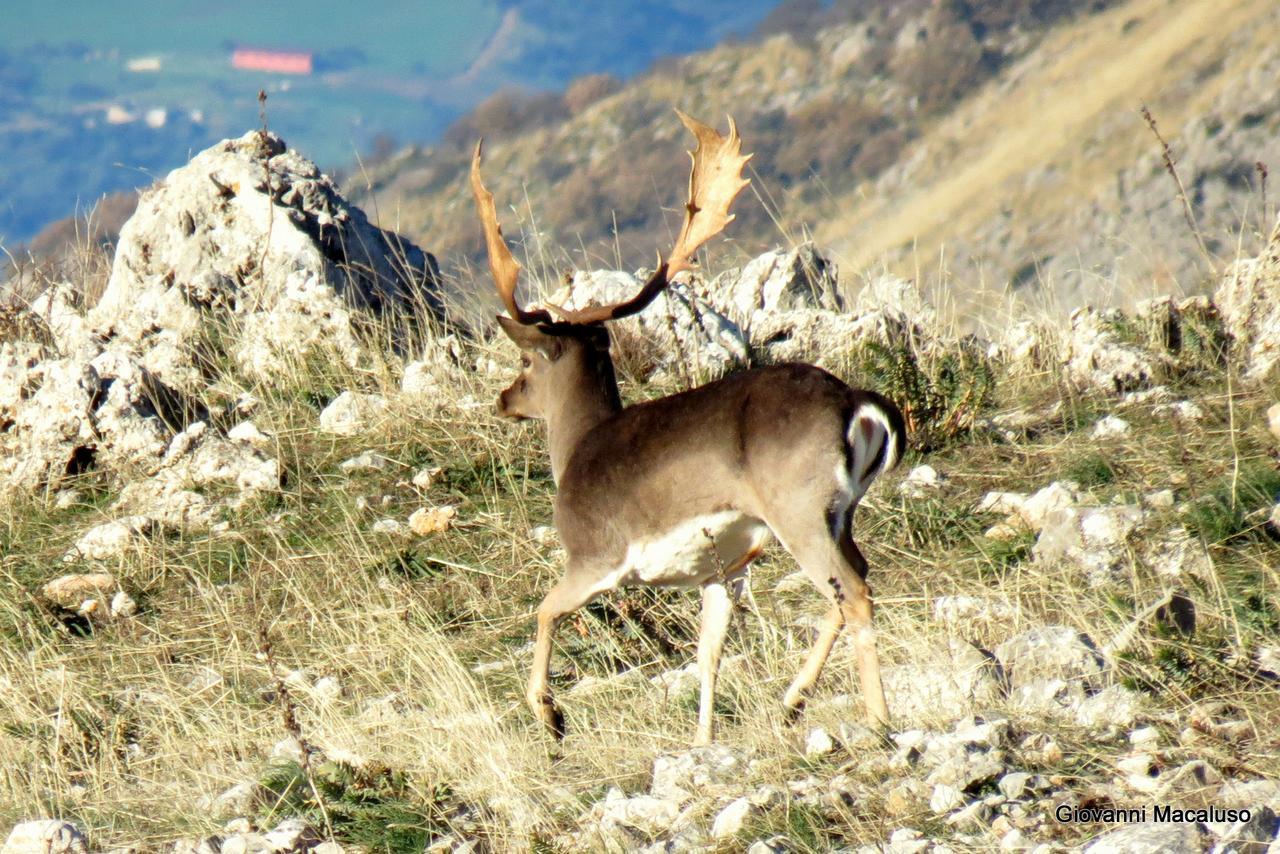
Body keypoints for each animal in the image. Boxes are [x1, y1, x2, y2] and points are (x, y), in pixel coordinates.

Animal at [476, 112, 906, 742]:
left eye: (527, 361)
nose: (505, 398)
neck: (575, 449)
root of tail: (857, 402)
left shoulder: (595, 554)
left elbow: (545, 608)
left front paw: (549, 714)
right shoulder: (718, 570)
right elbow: (709, 652)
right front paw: (702, 741)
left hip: (799, 507)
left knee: (851, 592)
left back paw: (875, 720)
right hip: (839, 513)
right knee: (852, 582)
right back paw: (791, 702)